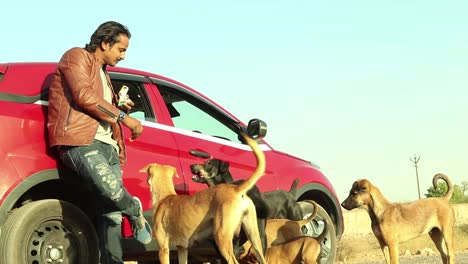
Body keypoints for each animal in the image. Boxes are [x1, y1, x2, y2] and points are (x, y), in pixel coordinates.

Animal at [141, 134, 266, 264]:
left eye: (209, 164)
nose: (191, 166)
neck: (165, 196)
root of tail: (236, 189)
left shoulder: (163, 249)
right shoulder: (182, 249)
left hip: (222, 237)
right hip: (255, 238)